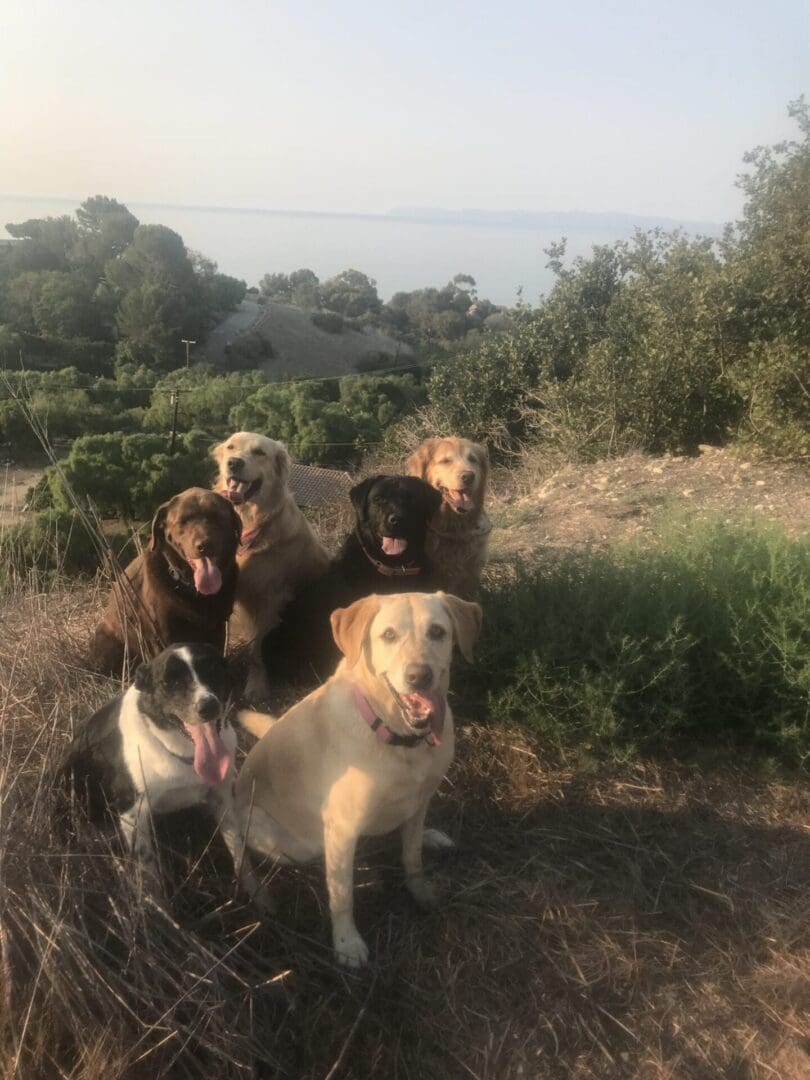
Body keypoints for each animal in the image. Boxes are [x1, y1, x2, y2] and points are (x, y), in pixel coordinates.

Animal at [64, 643, 266, 907]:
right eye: (170, 683)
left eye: (212, 669)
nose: (208, 706)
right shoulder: (132, 815)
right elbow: (149, 874)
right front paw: (159, 913)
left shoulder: (222, 798)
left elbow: (240, 853)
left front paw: (261, 901)